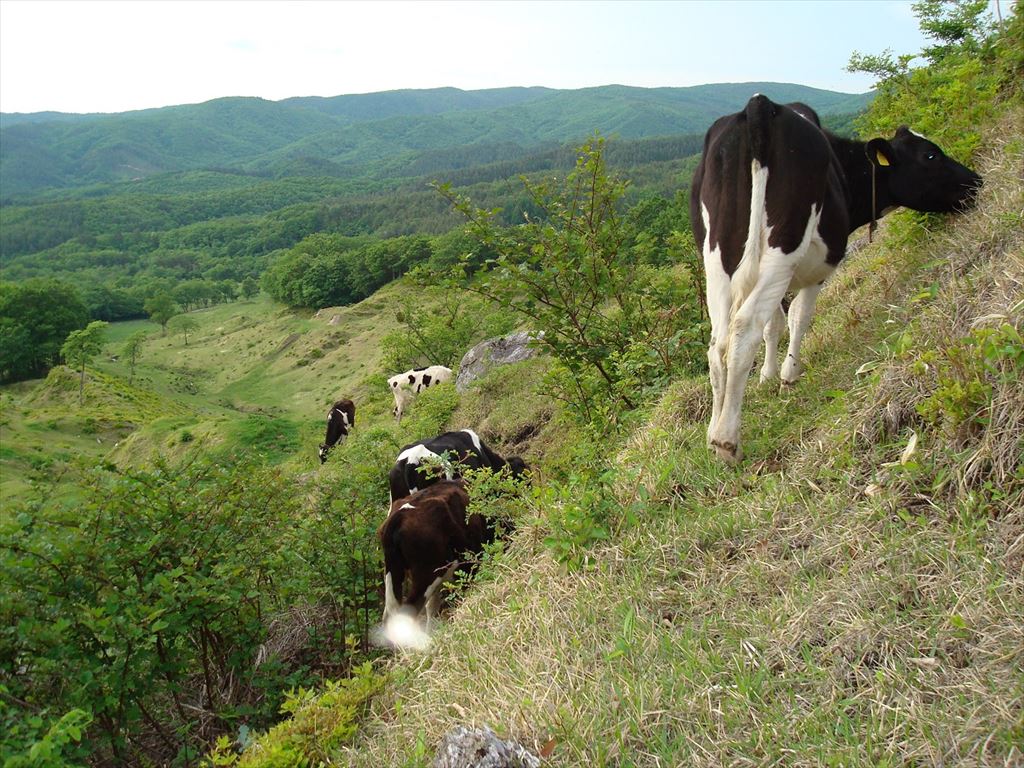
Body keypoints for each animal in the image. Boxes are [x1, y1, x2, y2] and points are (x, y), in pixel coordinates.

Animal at [692, 94, 978, 462]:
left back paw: (713, 430)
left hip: (717, 257)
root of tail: (760, 105)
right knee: (744, 329)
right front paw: (789, 374)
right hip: (784, 244)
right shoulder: (818, 266)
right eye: (931, 155)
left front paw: (768, 376)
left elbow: (776, 324)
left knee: (719, 343)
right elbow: (799, 317)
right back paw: (726, 441)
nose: (977, 180)